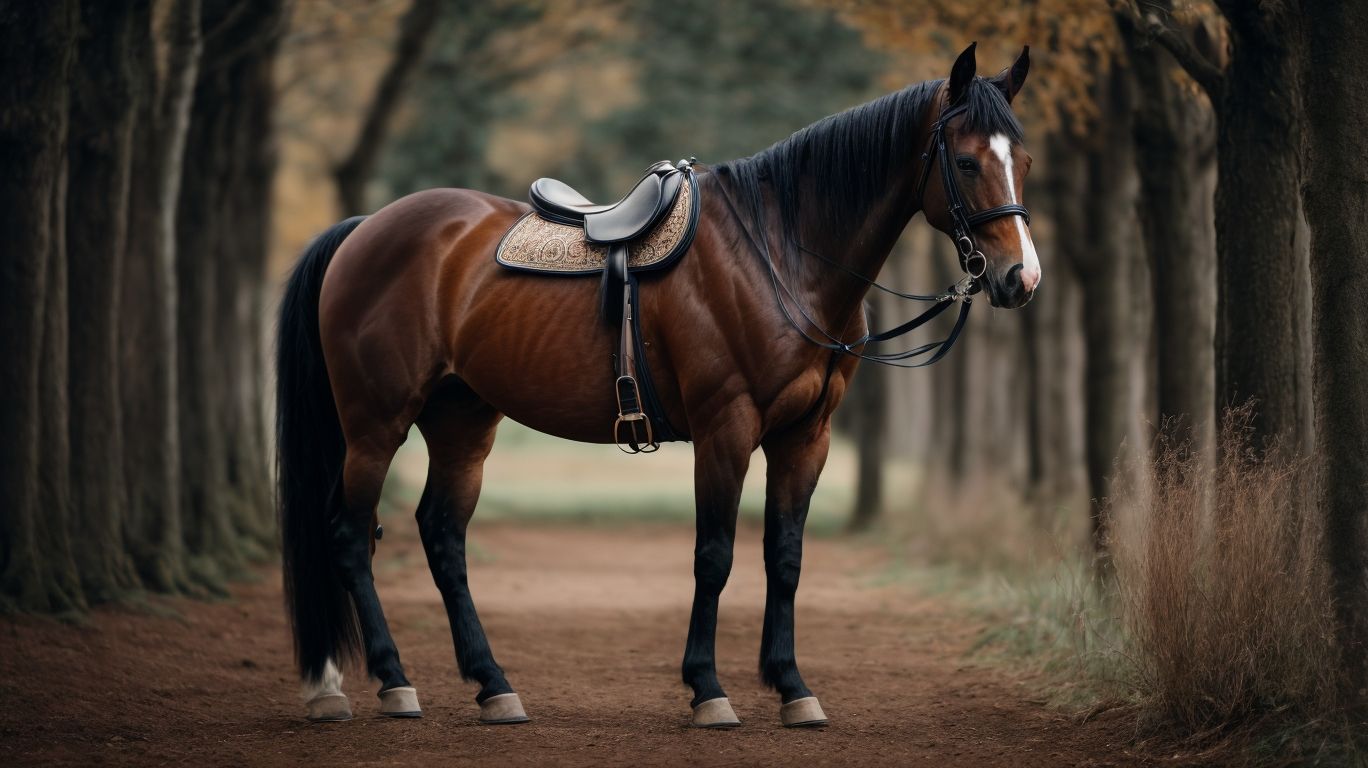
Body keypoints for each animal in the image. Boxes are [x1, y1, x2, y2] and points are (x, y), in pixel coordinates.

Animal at [276, 42, 1039, 728]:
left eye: (1025, 161)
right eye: (966, 161)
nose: (1020, 279)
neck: (780, 256)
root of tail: (364, 229)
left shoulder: (806, 436)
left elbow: (785, 558)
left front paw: (792, 688)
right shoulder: (726, 428)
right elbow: (715, 556)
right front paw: (708, 690)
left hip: (462, 420)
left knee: (442, 537)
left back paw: (493, 686)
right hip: (375, 425)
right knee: (350, 537)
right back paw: (391, 682)